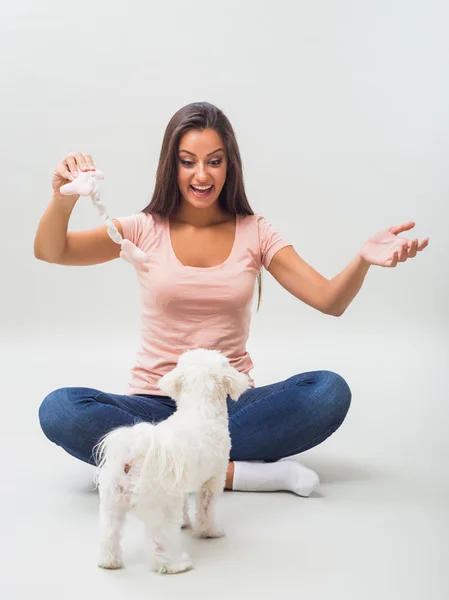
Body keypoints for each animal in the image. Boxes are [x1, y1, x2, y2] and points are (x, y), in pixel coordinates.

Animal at [93, 350, 250, 576]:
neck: (199, 411)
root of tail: (133, 455)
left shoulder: (181, 486)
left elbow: (185, 504)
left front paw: (185, 523)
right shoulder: (213, 479)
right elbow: (206, 510)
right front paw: (209, 531)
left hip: (111, 502)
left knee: (109, 533)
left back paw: (109, 561)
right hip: (161, 508)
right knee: (159, 543)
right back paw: (175, 565)